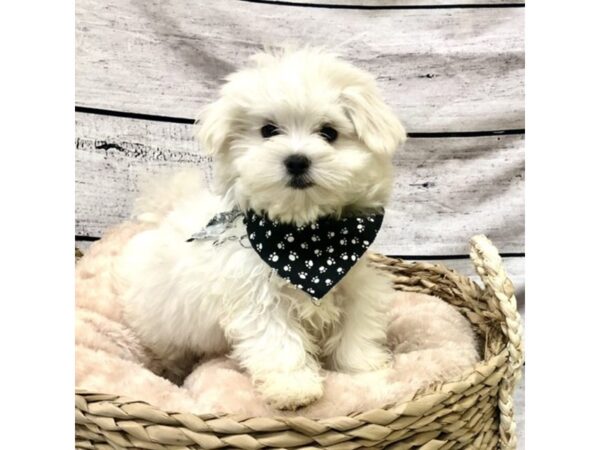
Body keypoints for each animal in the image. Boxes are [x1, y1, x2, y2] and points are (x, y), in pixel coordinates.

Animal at [116, 47, 408, 410]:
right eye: (268, 130)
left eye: (329, 133)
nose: (296, 160)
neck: (307, 240)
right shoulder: (258, 298)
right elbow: (278, 340)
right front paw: (294, 387)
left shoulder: (356, 283)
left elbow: (358, 325)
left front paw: (362, 367)